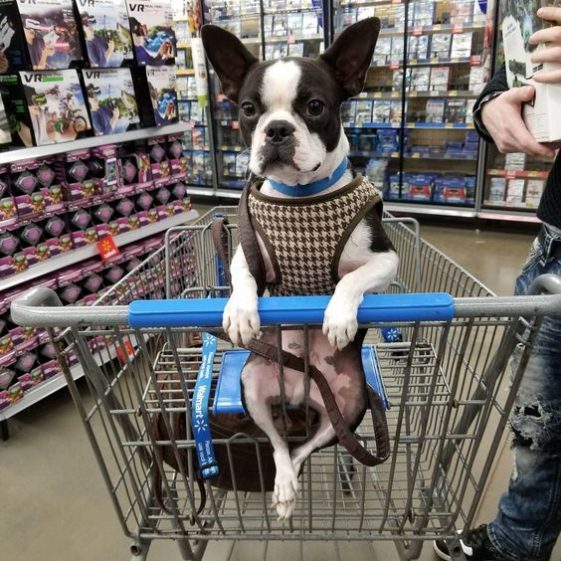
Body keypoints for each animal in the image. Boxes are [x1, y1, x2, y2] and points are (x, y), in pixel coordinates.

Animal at [199, 18, 396, 520]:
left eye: (315, 106)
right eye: (249, 109)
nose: (277, 130)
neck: (302, 196)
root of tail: (298, 393)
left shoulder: (385, 256)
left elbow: (352, 277)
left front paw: (339, 316)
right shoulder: (247, 248)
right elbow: (243, 277)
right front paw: (241, 312)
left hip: (350, 404)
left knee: (311, 446)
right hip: (251, 385)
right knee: (279, 445)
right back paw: (285, 485)